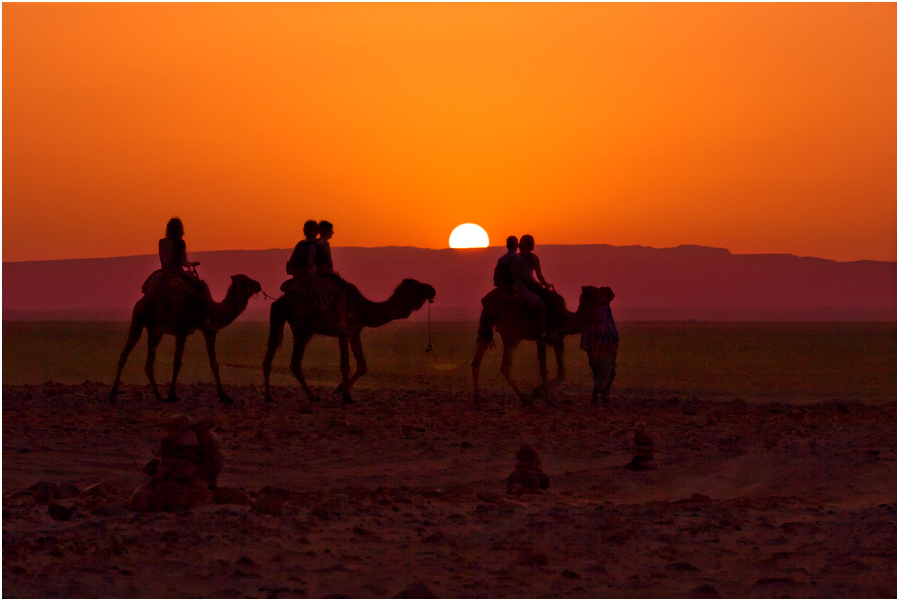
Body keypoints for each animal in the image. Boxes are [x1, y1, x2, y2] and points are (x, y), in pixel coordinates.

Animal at [109, 274, 262, 404]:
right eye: (245, 282)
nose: (259, 285)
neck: (215, 310)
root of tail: (141, 301)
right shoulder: (186, 330)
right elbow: (179, 363)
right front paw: (172, 395)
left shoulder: (203, 329)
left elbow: (213, 363)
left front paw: (224, 396)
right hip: (146, 323)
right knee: (136, 356)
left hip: (149, 327)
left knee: (137, 358)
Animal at [264, 276, 436, 404]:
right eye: (417, 287)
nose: (432, 289)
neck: (364, 309)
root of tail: (281, 300)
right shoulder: (343, 331)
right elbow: (345, 365)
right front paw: (345, 396)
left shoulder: (354, 333)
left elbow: (362, 366)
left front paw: (342, 389)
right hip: (302, 328)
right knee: (294, 362)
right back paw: (311, 396)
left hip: (283, 321)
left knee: (272, 354)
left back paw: (269, 397)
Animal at [472, 284, 612, 406]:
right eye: (599, 290)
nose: (610, 291)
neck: (567, 319)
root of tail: (487, 301)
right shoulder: (556, 340)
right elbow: (562, 373)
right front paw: (538, 392)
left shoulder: (540, 341)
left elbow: (543, 370)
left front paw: (546, 397)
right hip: (512, 334)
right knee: (504, 367)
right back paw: (524, 399)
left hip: (486, 325)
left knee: (476, 361)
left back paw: (477, 401)